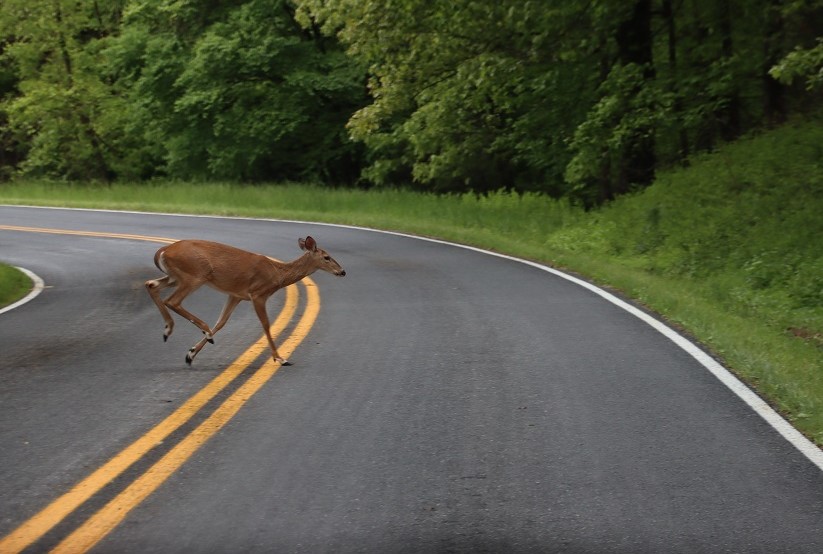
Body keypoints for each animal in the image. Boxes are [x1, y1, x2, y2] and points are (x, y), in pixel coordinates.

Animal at [145, 235, 344, 364]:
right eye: (327, 257)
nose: (342, 271)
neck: (278, 274)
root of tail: (162, 251)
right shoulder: (258, 293)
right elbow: (266, 324)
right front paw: (280, 358)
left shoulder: (235, 295)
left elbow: (221, 322)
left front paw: (191, 354)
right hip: (194, 275)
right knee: (172, 300)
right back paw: (201, 331)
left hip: (175, 277)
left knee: (151, 284)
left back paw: (170, 330)